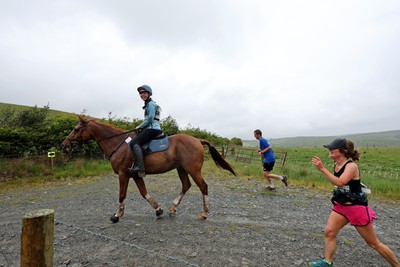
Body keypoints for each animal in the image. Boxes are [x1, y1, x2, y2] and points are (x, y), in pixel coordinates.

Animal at [61, 118, 236, 224]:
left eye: (76, 129)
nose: (64, 145)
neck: (118, 144)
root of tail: (197, 140)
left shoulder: (124, 174)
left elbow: (122, 195)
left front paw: (116, 216)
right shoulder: (135, 175)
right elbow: (144, 193)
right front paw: (158, 210)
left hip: (192, 169)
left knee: (203, 186)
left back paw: (204, 213)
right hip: (181, 169)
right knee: (186, 185)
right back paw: (172, 208)